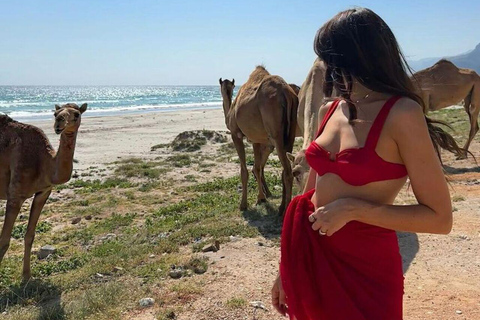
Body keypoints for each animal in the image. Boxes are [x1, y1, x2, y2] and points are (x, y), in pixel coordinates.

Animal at [0, 103, 87, 280]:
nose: (59, 122)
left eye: (76, 114)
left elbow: (30, 235)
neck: (44, 163)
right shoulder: (15, 195)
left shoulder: (43, 193)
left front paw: (26, 276)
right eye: (55, 113)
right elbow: (4, 241)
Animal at [219, 65, 298, 215]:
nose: (226, 90)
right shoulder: (256, 139)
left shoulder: (235, 134)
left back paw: (285, 210)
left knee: (288, 171)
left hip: (276, 134)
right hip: (291, 133)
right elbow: (257, 168)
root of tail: (287, 93)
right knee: (287, 167)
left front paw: (243, 204)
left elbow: (244, 170)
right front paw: (261, 198)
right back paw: (281, 207)